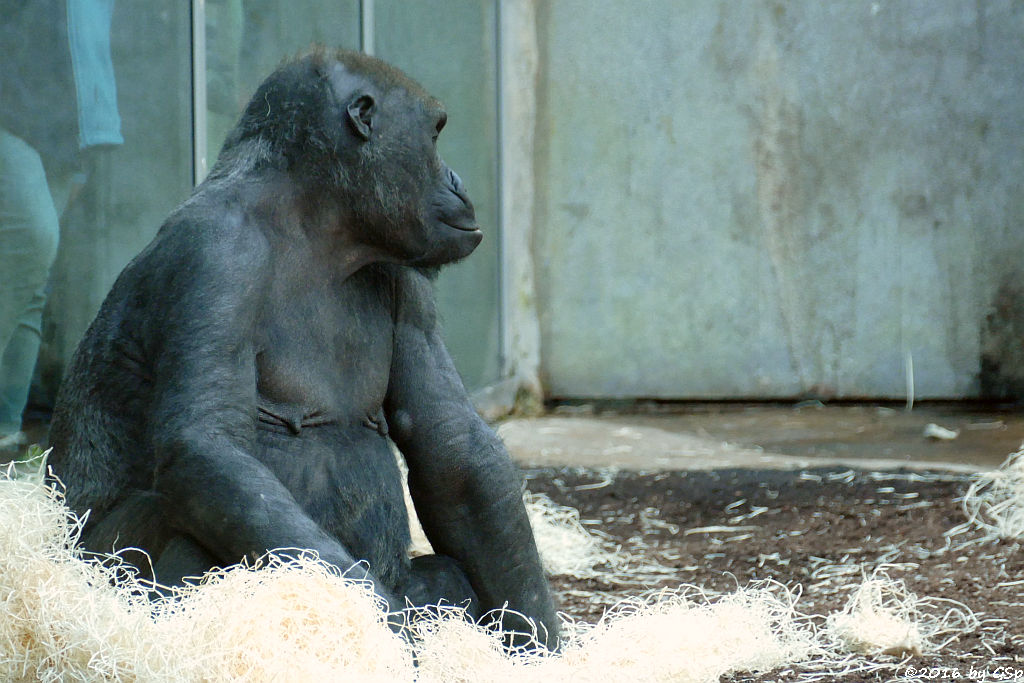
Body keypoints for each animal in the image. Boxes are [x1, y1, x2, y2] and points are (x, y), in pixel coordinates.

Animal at [46, 46, 561, 647]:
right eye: (434, 135)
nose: (457, 178)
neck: (315, 224)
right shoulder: (216, 254)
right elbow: (207, 449)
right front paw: (386, 636)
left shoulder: (406, 275)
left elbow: (453, 446)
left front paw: (539, 640)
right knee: (184, 518)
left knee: (445, 577)